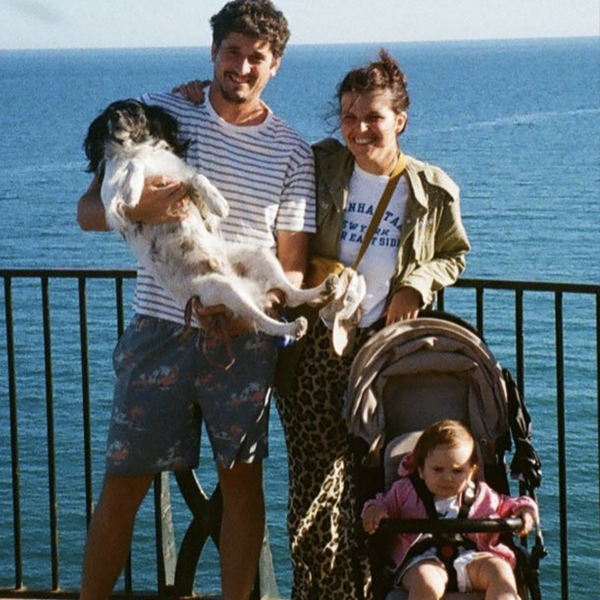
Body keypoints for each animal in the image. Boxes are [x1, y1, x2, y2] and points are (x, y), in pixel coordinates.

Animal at [84, 99, 338, 348]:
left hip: (258, 255)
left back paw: (321, 291)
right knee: (261, 319)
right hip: (221, 288)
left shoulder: (181, 180)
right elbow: (133, 167)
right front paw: (133, 191)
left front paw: (219, 203)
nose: (115, 115)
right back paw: (293, 326)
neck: (136, 148)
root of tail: (245, 284)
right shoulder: (111, 200)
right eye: (109, 111)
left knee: (289, 294)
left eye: (133, 110)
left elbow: (198, 177)